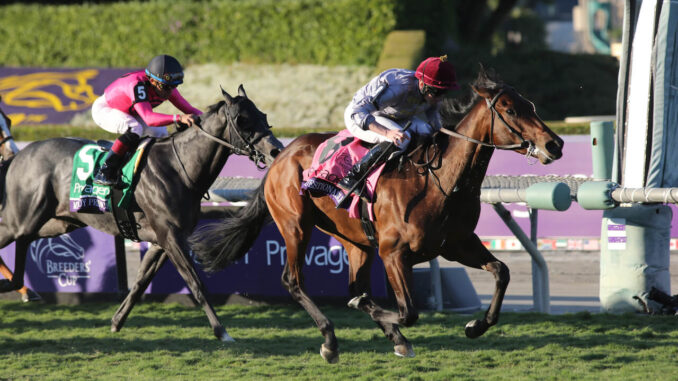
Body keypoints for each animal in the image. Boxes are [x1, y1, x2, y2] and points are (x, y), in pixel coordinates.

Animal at [0, 84, 284, 340]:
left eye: (263, 115)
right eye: (242, 120)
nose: (276, 150)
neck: (178, 168)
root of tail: (18, 156)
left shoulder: (162, 241)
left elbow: (140, 283)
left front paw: (116, 322)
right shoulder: (171, 237)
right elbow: (196, 283)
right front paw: (221, 332)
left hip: (54, 224)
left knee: (22, 250)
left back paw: (21, 288)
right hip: (20, 221)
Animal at [190, 69, 564, 360]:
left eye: (529, 104)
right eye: (509, 109)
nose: (555, 144)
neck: (441, 180)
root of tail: (281, 155)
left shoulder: (456, 243)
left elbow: (501, 271)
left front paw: (475, 325)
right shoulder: (393, 253)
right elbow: (408, 312)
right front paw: (388, 320)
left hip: (353, 239)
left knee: (355, 286)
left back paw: (386, 335)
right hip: (295, 226)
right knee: (294, 281)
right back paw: (330, 340)